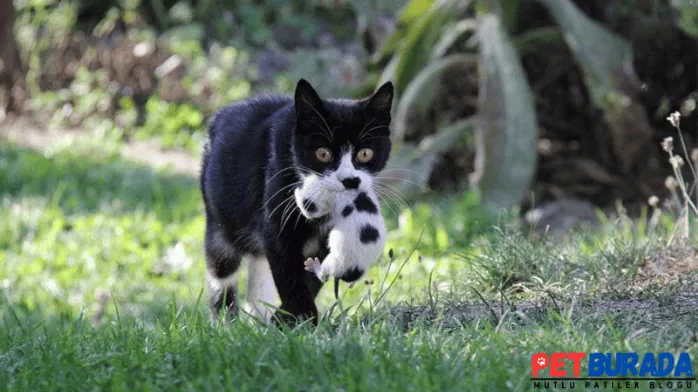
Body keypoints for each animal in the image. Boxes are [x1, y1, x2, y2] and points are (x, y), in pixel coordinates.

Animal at [198, 78, 392, 326]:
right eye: (323, 154)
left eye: (365, 154)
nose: (349, 180)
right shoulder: (277, 220)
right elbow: (289, 274)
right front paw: (302, 320)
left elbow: (311, 277)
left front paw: (285, 321)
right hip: (219, 221)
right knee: (221, 271)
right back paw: (225, 323)